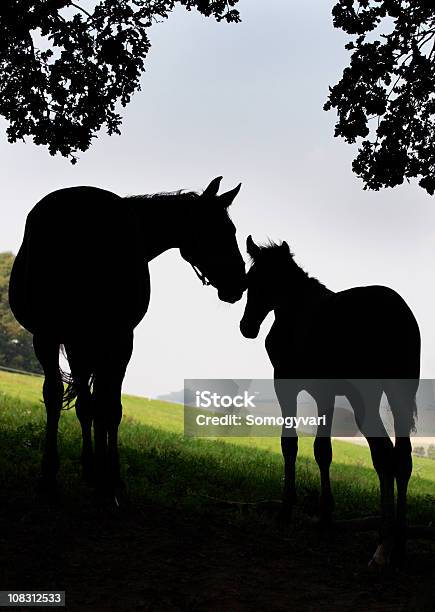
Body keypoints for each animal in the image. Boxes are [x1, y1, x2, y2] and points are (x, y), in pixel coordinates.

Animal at [8, 176, 245, 502]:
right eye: (223, 230)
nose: (239, 282)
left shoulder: (83, 343)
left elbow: (90, 405)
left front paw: (94, 469)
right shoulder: (120, 342)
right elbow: (110, 408)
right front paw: (110, 477)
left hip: (56, 338)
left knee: (64, 398)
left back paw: (54, 476)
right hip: (82, 340)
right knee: (86, 401)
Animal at [240, 237, 420, 568]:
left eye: (264, 283)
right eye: (249, 281)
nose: (247, 327)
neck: (296, 312)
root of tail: (396, 314)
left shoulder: (286, 384)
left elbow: (290, 443)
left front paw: (286, 509)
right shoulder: (326, 394)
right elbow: (323, 450)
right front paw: (325, 513)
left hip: (366, 397)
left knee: (384, 454)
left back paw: (384, 545)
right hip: (399, 394)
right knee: (402, 457)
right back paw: (399, 544)